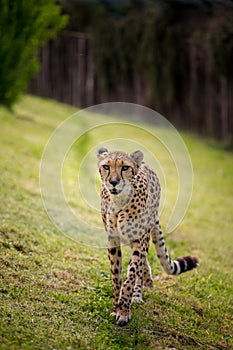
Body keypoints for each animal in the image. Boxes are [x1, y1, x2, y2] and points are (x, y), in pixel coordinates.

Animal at [97, 147, 198, 326]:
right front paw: (117, 306)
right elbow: (116, 275)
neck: (119, 201)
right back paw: (146, 281)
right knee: (143, 263)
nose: (114, 182)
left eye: (125, 167)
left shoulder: (140, 240)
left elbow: (131, 274)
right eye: (106, 166)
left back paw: (139, 292)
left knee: (141, 263)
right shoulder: (113, 240)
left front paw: (124, 310)